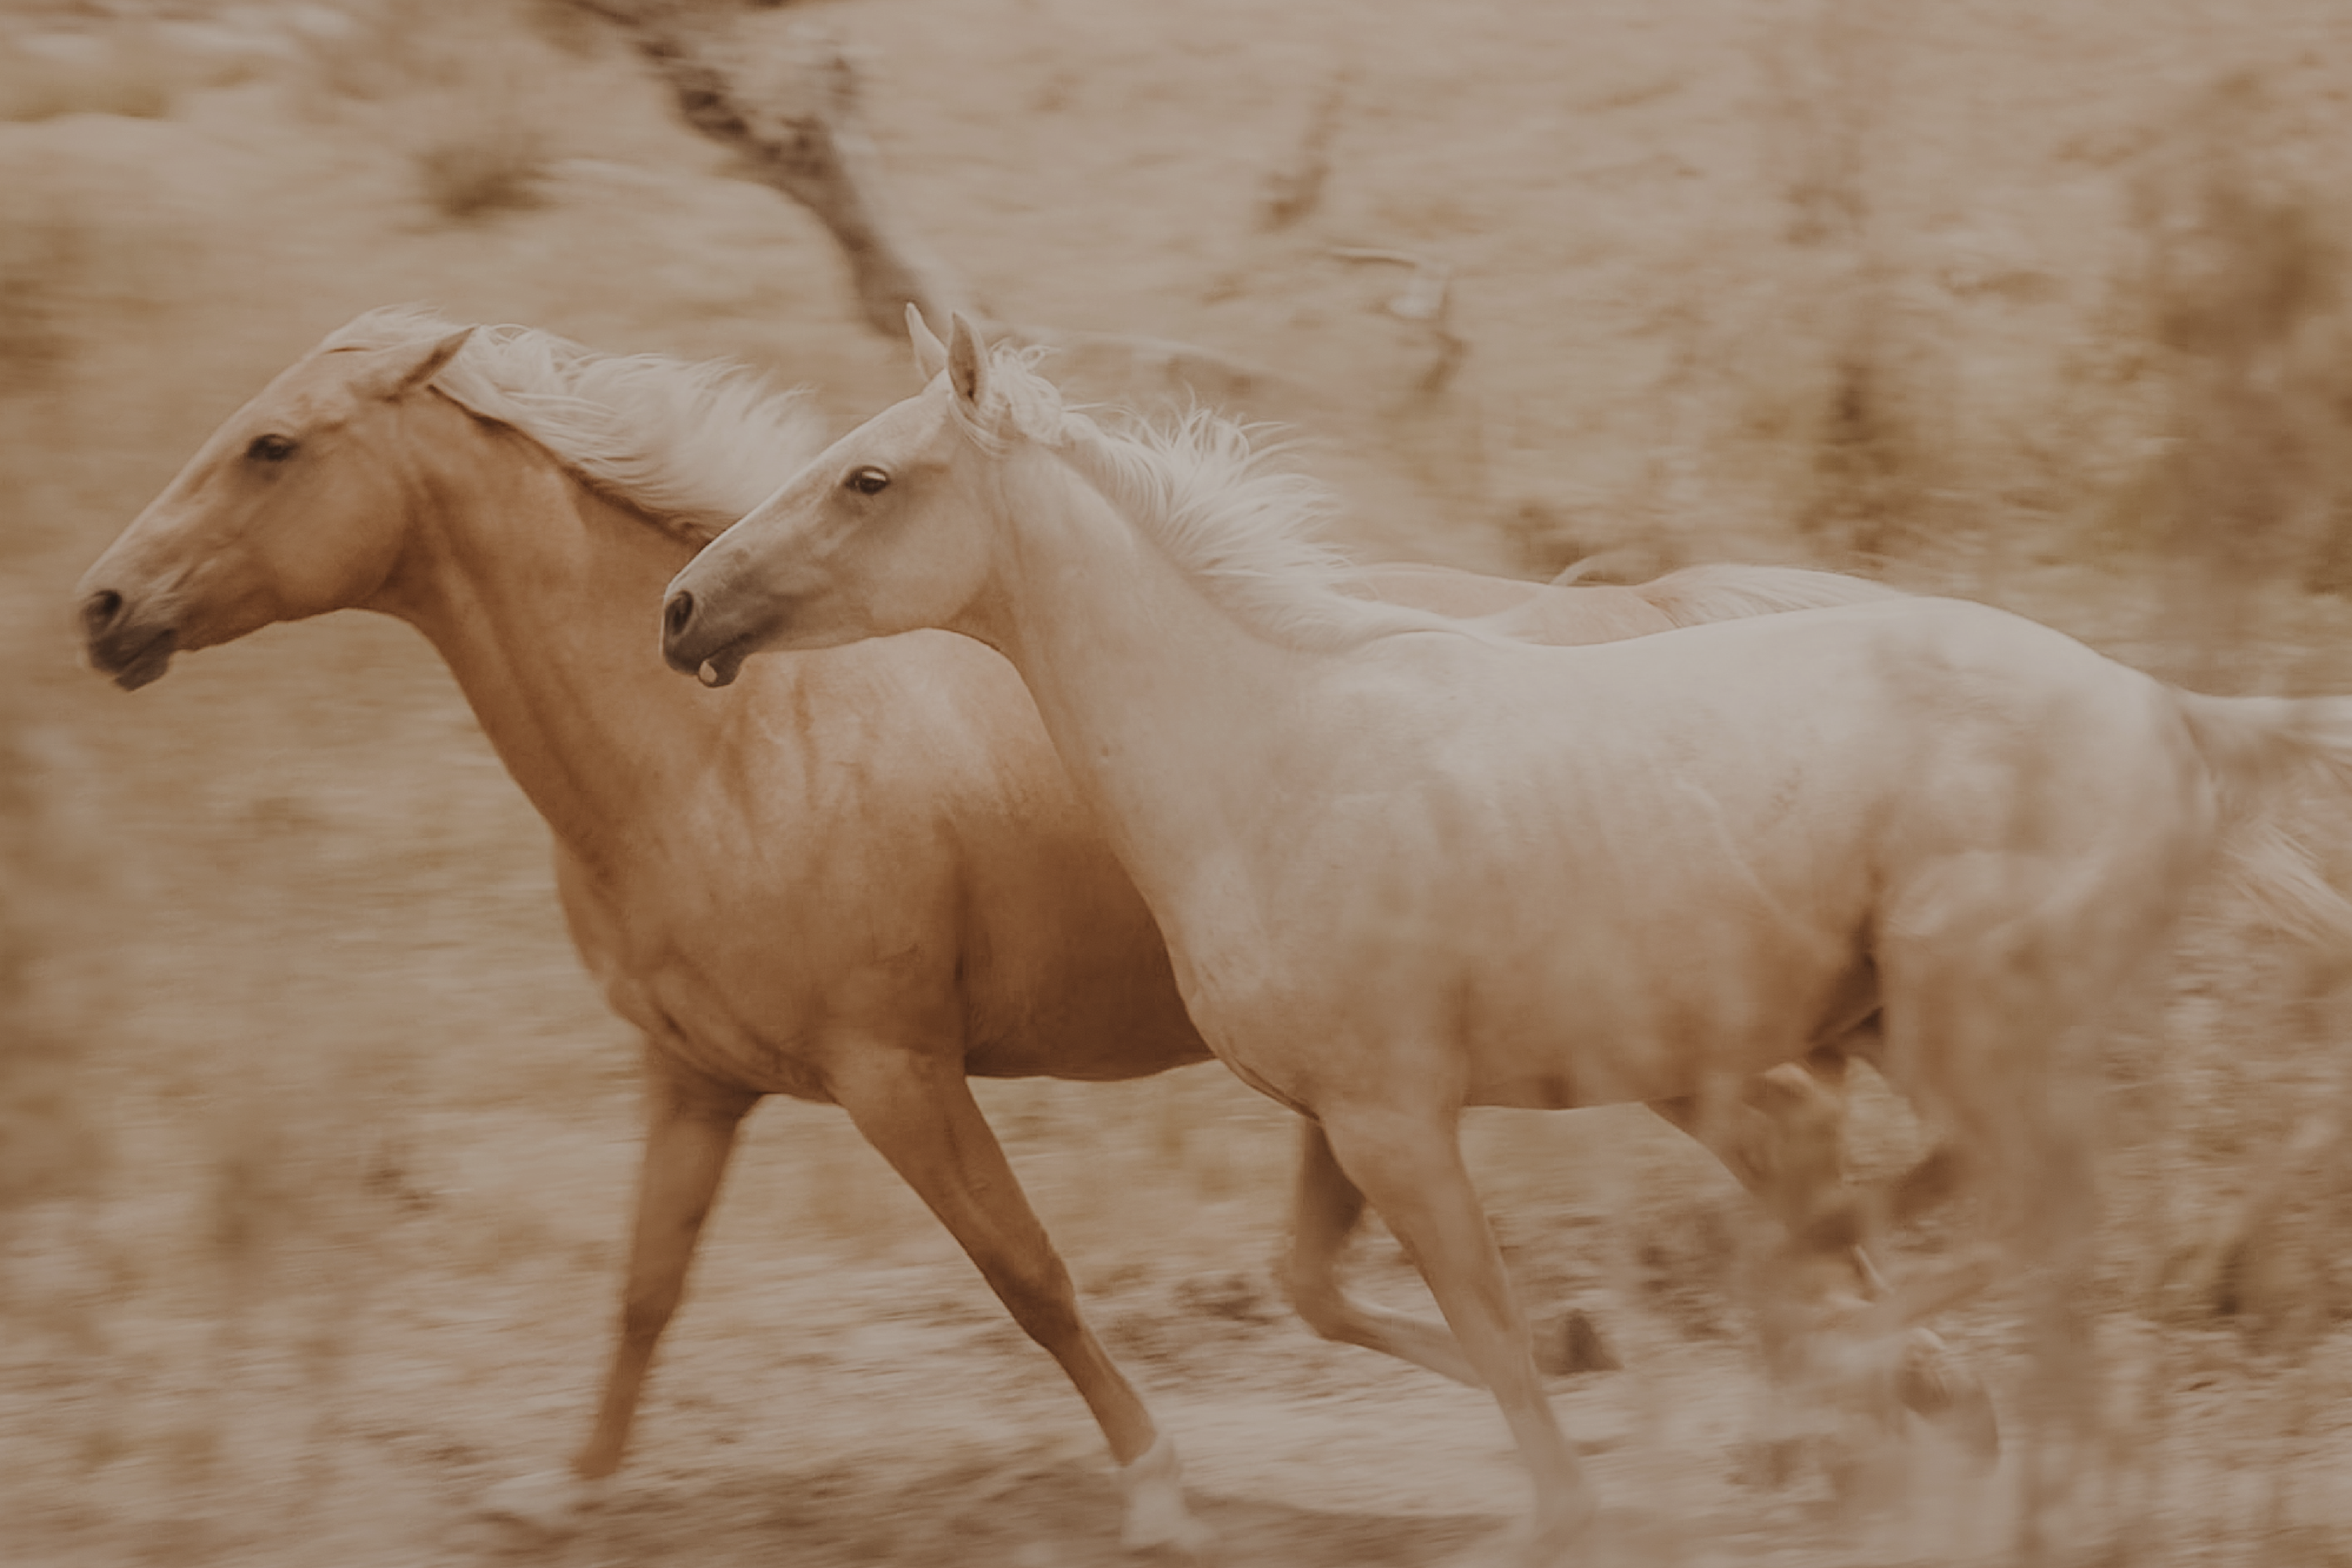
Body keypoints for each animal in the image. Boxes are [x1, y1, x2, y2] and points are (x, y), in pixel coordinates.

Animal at [77, 307, 1920, 1553]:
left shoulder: (896, 1072)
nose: (102, 608)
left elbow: (1025, 1273)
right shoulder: (696, 1082)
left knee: (1796, 1174)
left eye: (272, 446)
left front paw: (1164, 1493)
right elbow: (646, 1291)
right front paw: (563, 1488)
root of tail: (1656, 608)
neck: (725, 758)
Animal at [658, 309, 2352, 1562]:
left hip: (1951, 1020)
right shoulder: (1339, 1117)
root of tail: (2172, 711)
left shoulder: (1402, 1122)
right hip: (1891, 1026)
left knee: (2011, 1212)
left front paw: (1580, 1478)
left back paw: (1815, 1391)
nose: (682, 611)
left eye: (869, 479)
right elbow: (1321, 1288)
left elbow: (1486, 1325)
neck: (1271, 745)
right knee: (1971, 1210)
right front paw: (1604, 1350)